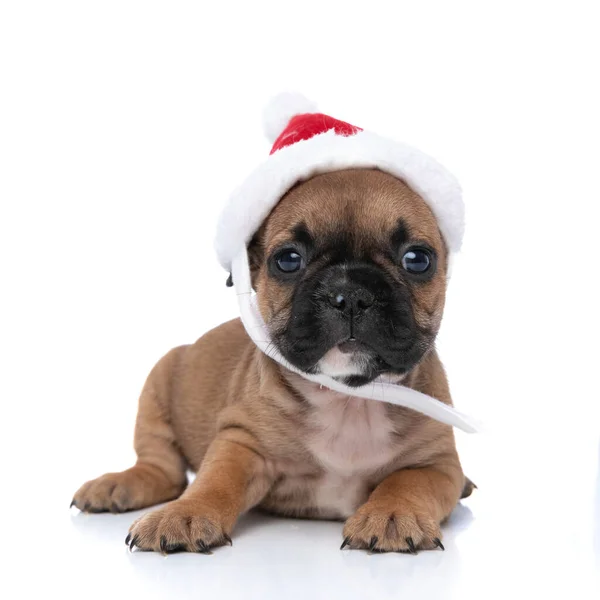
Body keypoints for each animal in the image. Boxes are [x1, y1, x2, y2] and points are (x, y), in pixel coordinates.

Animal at [71, 168, 474, 552]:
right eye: (288, 260)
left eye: (417, 260)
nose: (350, 294)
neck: (348, 398)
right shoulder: (241, 441)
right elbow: (215, 480)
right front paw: (184, 514)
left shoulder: (436, 463)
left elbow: (408, 483)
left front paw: (392, 514)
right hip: (159, 382)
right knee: (161, 469)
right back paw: (117, 485)